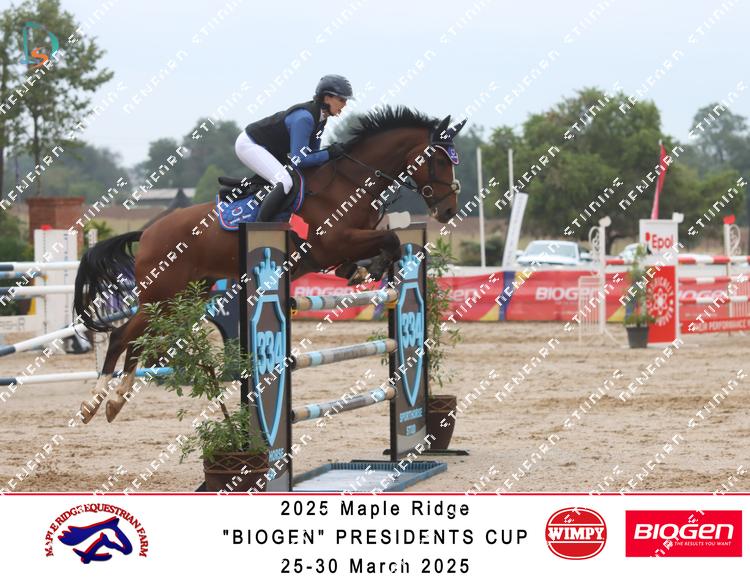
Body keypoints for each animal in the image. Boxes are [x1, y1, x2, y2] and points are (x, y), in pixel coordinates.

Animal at [73, 106, 466, 423]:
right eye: (440, 160)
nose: (448, 210)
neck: (352, 182)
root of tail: (149, 232)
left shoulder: (350, 242)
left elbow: (386, 244)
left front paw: (364, 270)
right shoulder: (335, 242)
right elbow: (392, 240)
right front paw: (373, 267)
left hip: (182, 298)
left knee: (139, 341)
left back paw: (116, 401)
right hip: (162, 294)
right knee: (122, 337)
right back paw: (93, 404)